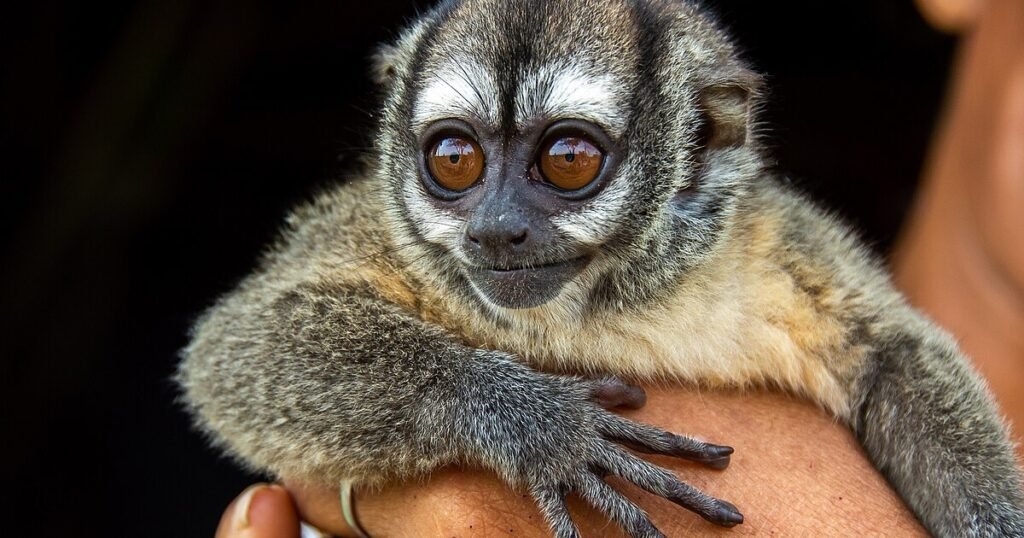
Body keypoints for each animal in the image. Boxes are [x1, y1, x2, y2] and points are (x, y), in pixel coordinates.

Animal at [177, 0, 1024, 536]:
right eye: (454, 159)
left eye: (569, 158)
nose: (497, 230)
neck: (599, 305)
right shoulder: (375, 232)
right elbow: (235, 348)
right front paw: (544, 427)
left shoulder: (768, 246)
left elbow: (893, 349)